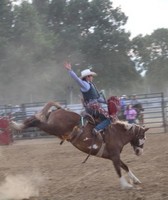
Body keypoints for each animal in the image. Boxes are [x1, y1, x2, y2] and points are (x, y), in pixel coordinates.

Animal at [9, 101, 149, 189]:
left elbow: (125, 166)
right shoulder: (114, 156)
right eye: (142, 137)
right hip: (52, 127)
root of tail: (59, 110)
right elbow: (119, 170)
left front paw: (135, 180)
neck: (116, 133)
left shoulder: (114, 156)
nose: (140, 152)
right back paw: (16, 124)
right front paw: (126, 185)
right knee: (35, 120)